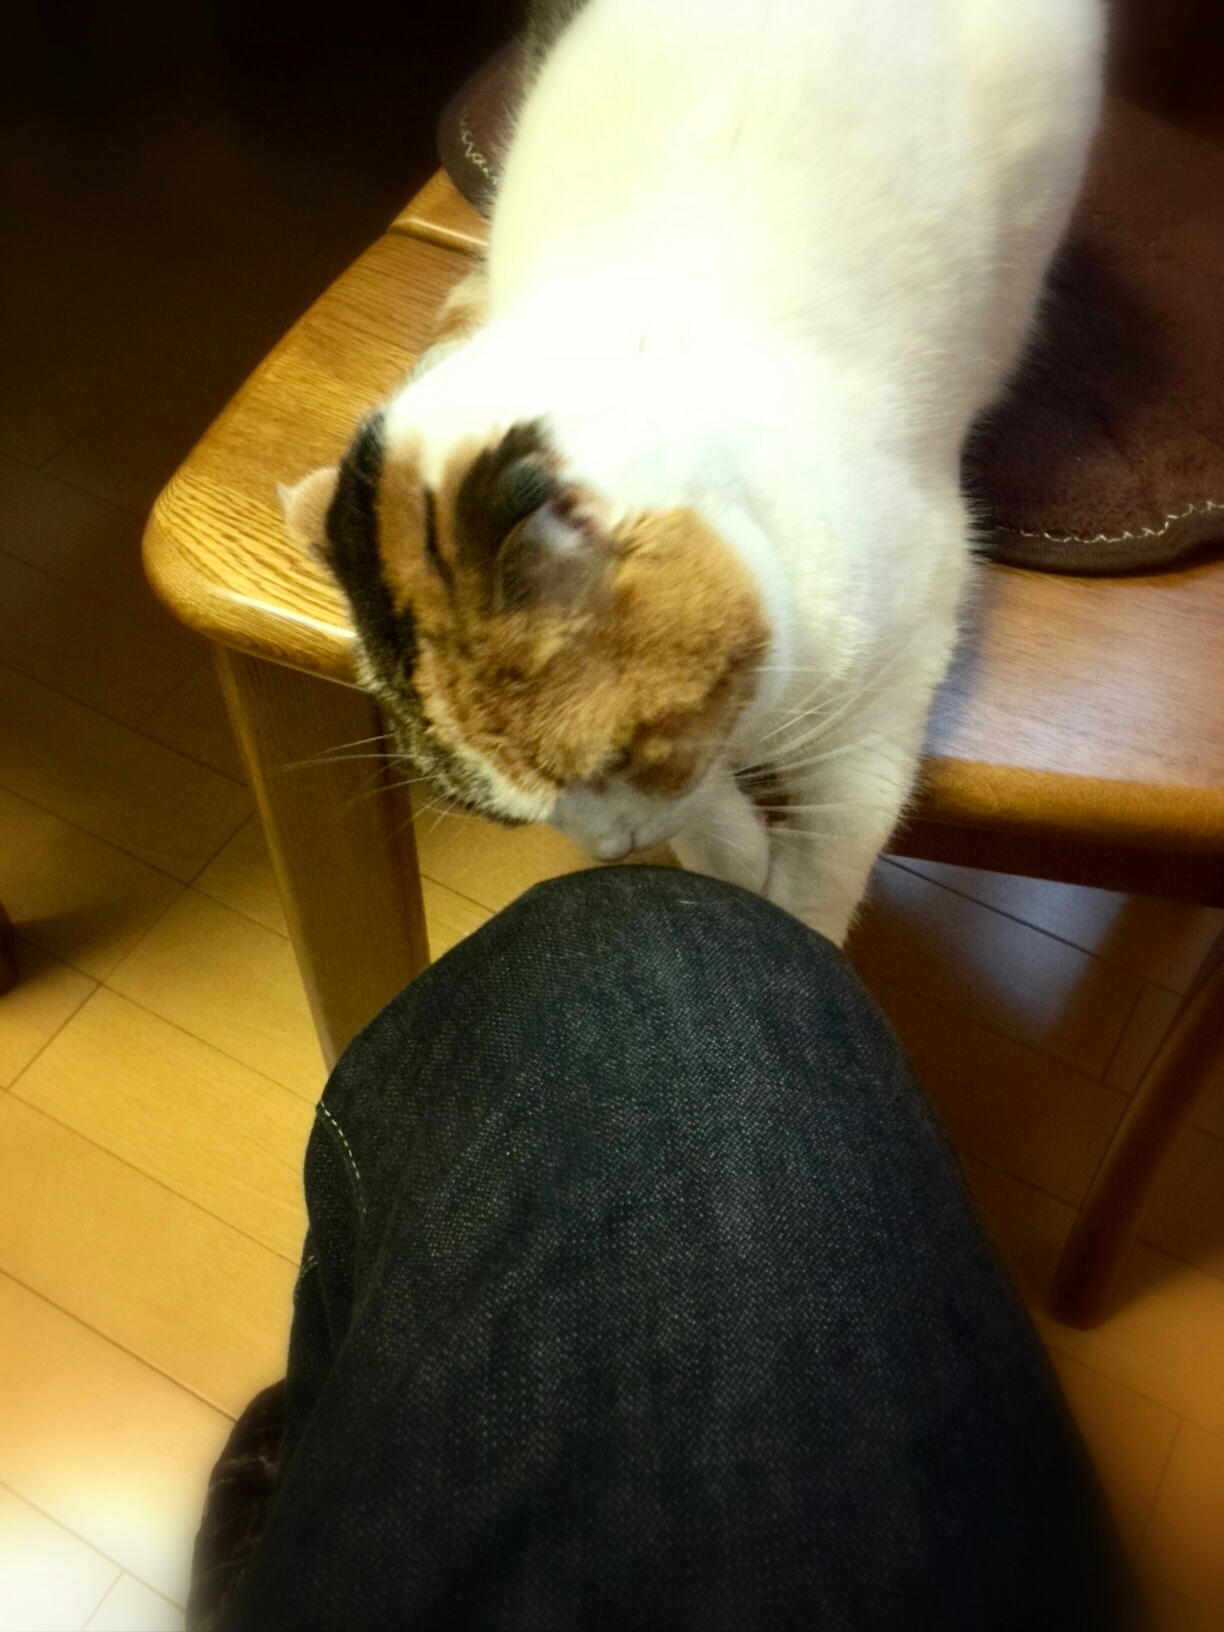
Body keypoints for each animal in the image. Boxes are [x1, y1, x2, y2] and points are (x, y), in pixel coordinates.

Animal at [282, 0, 1103, 945]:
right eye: (517, 818)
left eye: (615, 756)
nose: (614, 850)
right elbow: (711, 820)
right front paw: (734, 865)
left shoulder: (895, 674)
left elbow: (835, 848)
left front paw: (795, 922)